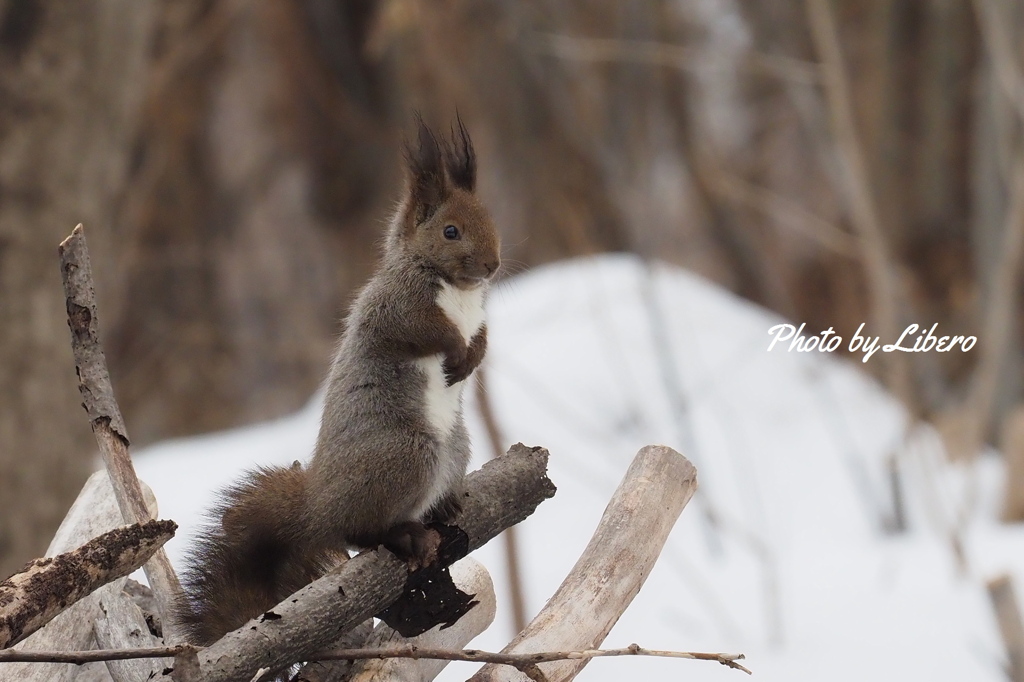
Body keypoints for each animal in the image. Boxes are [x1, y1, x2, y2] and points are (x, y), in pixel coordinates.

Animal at [177, 115, 503, 643]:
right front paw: (455, 353)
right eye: (451, 231)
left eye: (491, 219)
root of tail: (319, 506)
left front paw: (471, 357)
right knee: (357, 532)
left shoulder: (479, 318)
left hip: (456, 446)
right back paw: (402, 534)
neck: (459, 291)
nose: (494, 264)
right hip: (406, 454)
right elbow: (422, 332)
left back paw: (443, 508)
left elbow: (485, 338)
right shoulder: (396, 307)